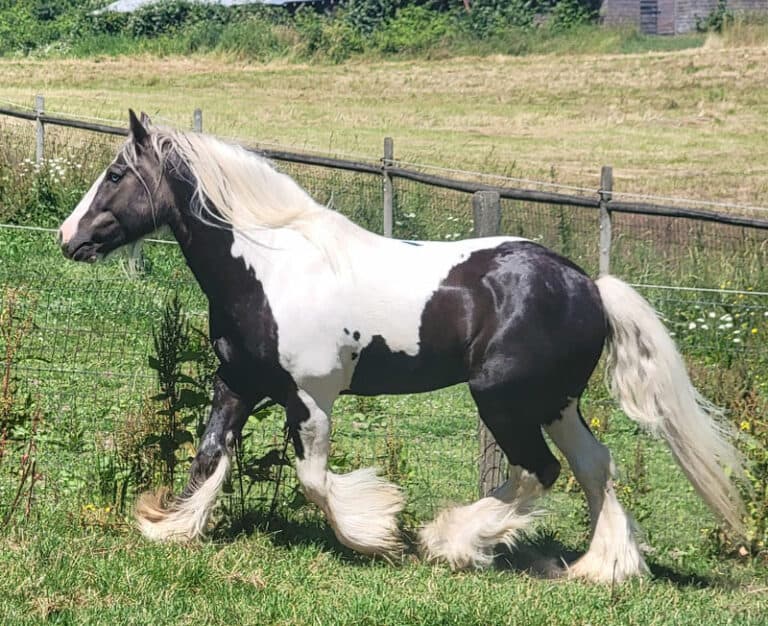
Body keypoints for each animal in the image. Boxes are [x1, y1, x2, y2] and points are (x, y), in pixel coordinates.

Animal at [58, 111, 744, 580]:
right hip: (556, 402)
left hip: (502, 398)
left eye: (115, 174)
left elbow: (313, 479)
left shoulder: (311, 398)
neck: (269, 268)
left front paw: (375, 532)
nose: (68, 238)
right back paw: (602, 568)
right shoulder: (240, 382)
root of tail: (589, 285)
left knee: (540, 470)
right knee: (593, 465)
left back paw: (451, 542)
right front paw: (171, 526)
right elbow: (208, 455)